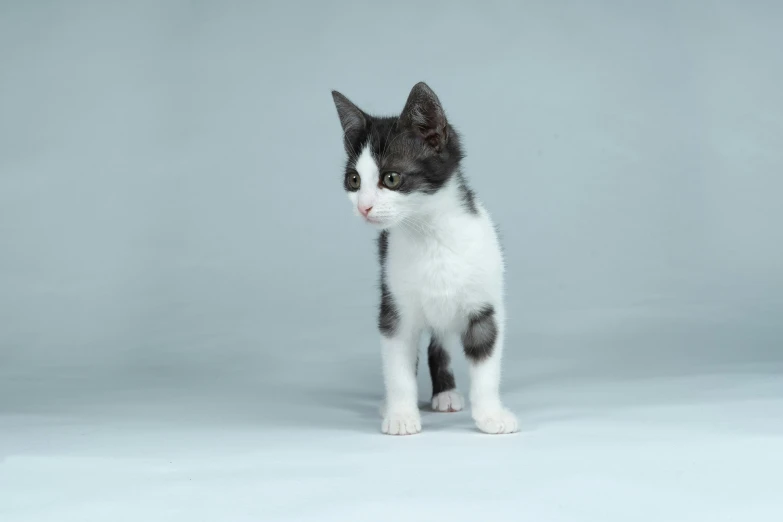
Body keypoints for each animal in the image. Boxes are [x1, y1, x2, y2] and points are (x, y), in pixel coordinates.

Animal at [332, 80, 520, 430]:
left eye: (391, 178)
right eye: (354, 180)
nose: (363, 207)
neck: (429, 235)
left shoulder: (486, 305)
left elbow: (486, 363)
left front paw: (491, 414)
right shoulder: (394, 310)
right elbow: (398, 368)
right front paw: (401, 415)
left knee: (440, 338)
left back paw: (445, 393)